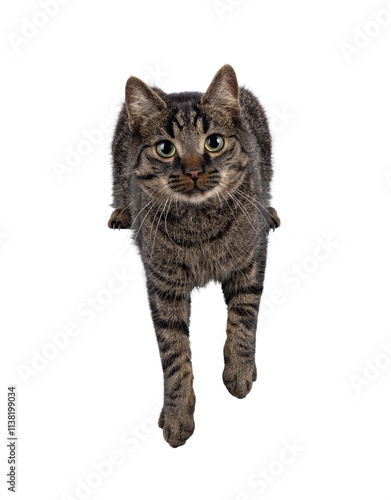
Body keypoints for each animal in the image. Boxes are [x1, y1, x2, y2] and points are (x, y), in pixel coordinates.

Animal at [108, 64, 280, 448]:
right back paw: (122, 213)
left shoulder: (251, 260)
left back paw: (271, 211)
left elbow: (243, 318)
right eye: (165, 148)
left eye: (213, 142)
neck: (198, 226)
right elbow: (174, 355)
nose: (193, 170)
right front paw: (177, 413)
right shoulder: (163, 285)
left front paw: (239, 369)